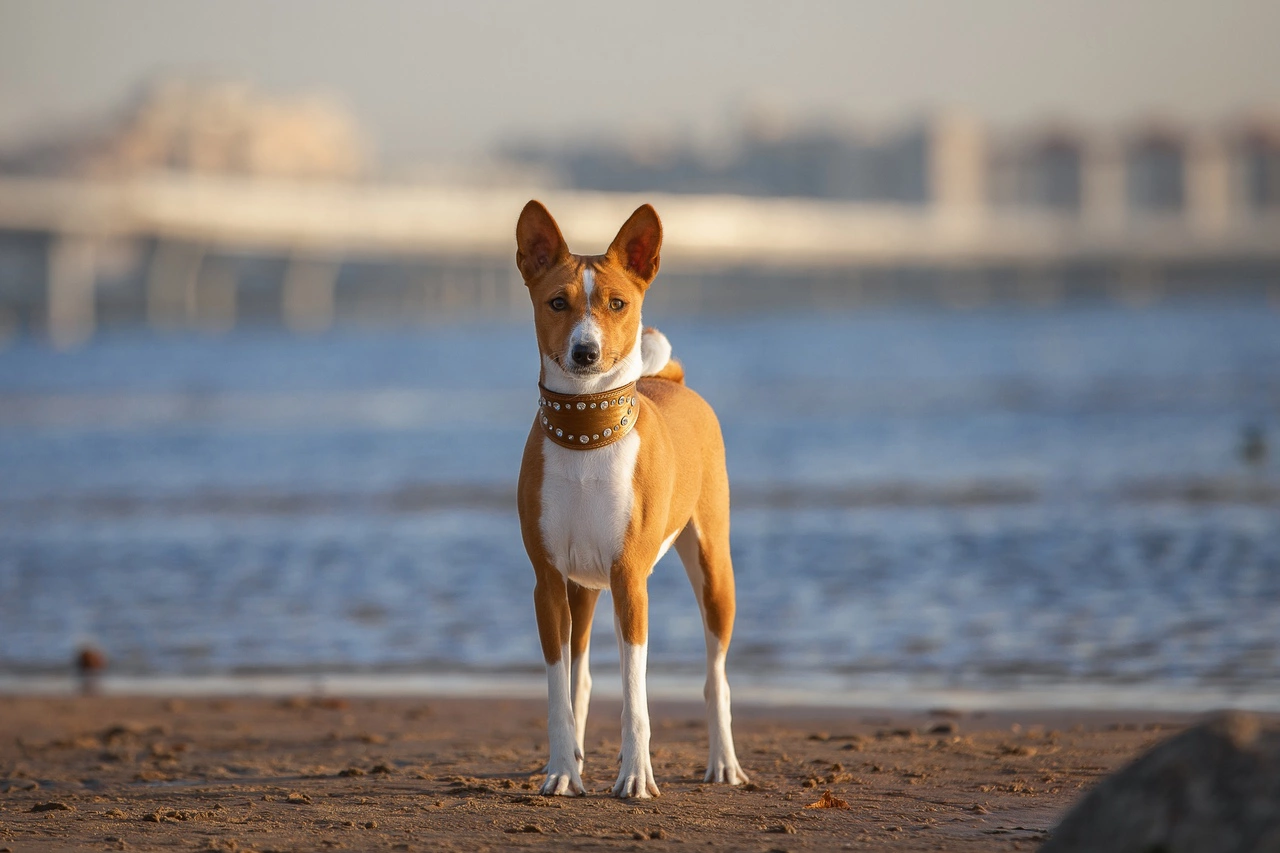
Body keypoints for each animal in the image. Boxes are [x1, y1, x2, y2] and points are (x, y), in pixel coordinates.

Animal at [512, 201, 747, 799]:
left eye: (617, 303)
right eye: (557, 302)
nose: (585, 351)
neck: (588, 435)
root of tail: (674, 381)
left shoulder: (629, 578)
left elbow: (636, 699)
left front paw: (637, 776)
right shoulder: (548, 584)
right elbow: (560, 692)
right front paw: (561, 771)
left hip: (712, 571)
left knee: (716, 678)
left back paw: (724, 763)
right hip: (584, 591)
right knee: (583, 679)